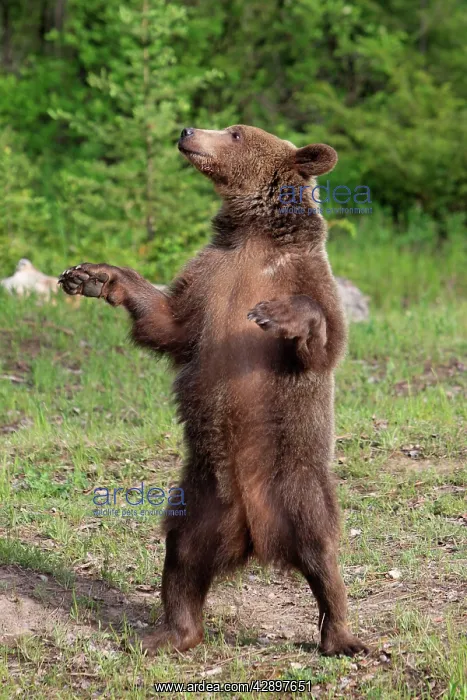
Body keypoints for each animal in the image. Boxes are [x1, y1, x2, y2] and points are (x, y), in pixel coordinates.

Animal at [59, 125, 367, 657]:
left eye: (236, 133)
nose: (187, 131)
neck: (255, 234)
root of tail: (255, 535)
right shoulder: (208, 279)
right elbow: (168, 322)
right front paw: (95, 275)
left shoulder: (307, 277)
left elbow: (323, 341)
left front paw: (280, 314)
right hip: (200, 500)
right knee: (181, 557)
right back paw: (169, 632)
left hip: (297, 482)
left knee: (321, 553)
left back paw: (341, 636)